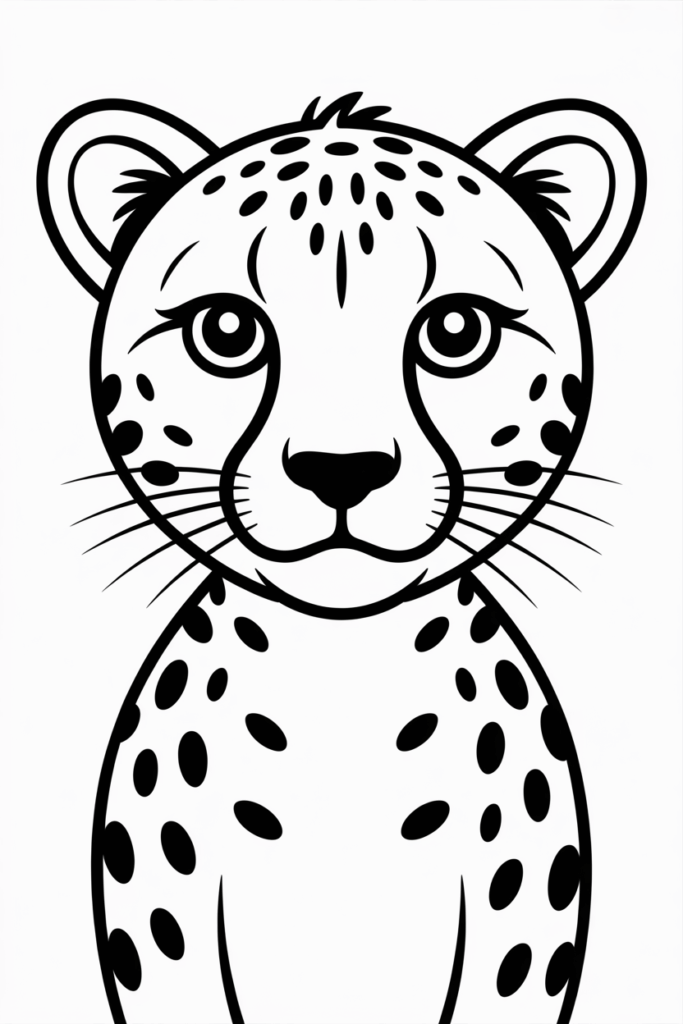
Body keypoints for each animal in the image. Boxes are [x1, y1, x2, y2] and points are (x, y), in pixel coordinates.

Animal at [38, 92, 646, 1024]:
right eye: (225, 330)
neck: (340, 664)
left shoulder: (518, 921)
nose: (341, 470)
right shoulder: (164, 919)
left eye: (456, 330)